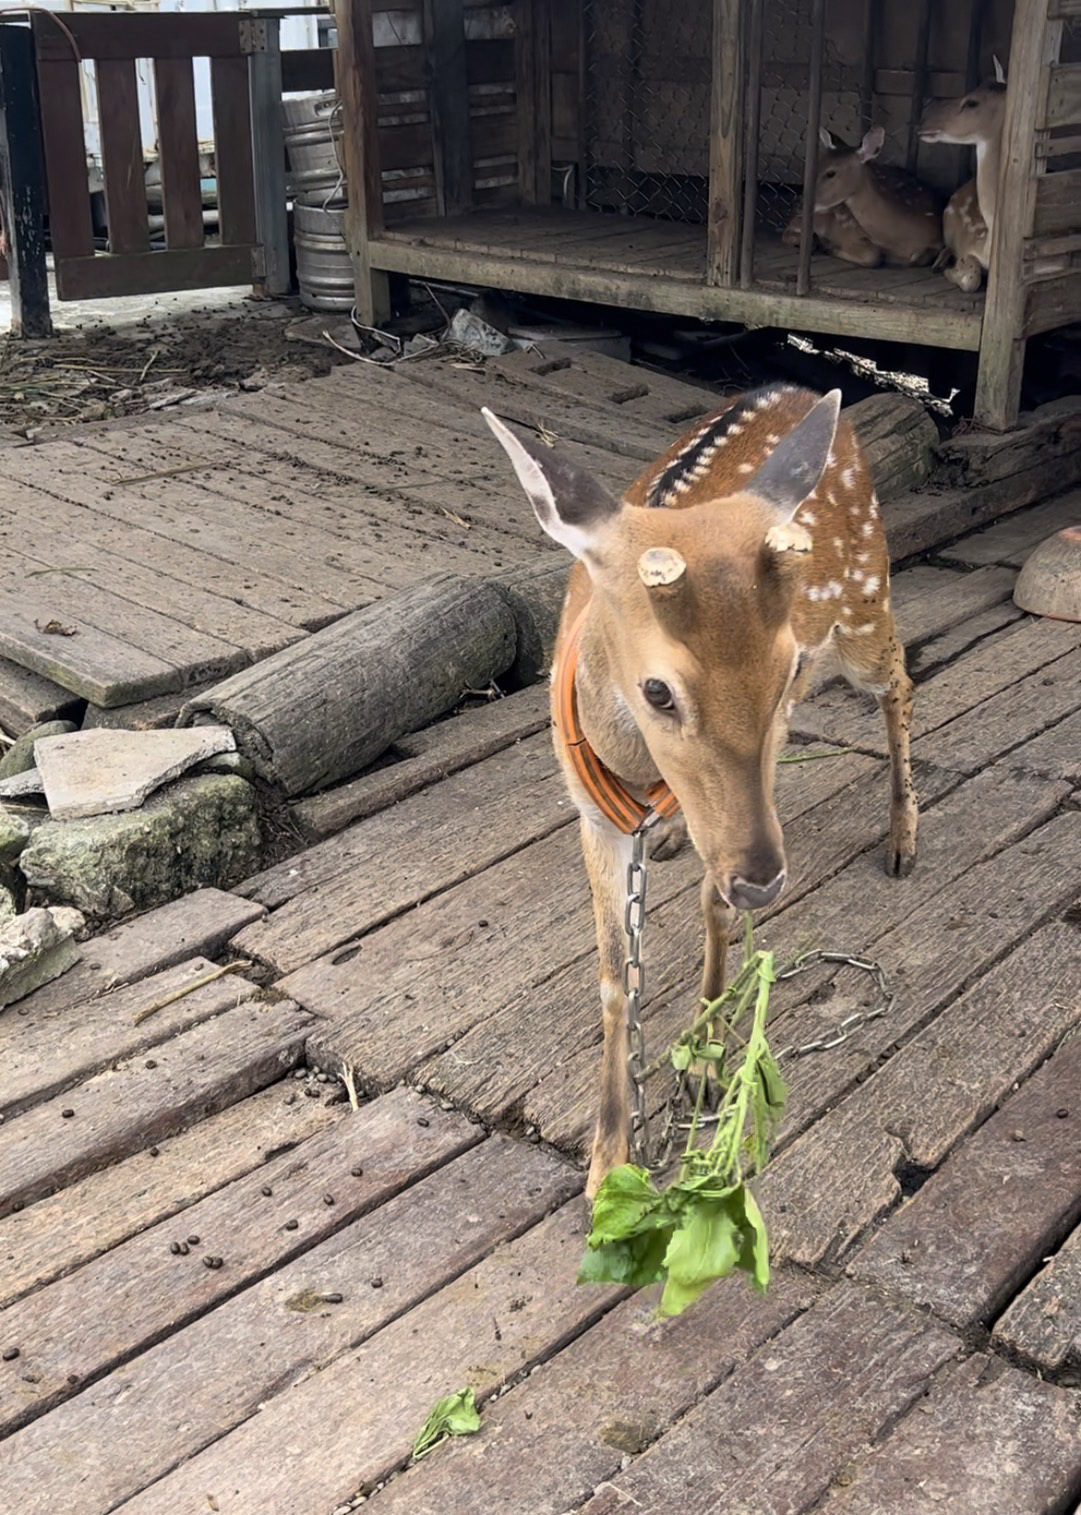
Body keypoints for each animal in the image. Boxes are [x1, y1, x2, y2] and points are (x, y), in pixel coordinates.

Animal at [484, 381, 914, 1193]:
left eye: (785, 668)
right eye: (658, 690)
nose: (764, 879)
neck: (638, 765)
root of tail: (807, 394)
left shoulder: (769, 751)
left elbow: (712, 913)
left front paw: (707, 1067)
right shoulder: (590, 811)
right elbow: (613, 972)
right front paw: (607, 1162)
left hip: (864, 602)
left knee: (900, 680)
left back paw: (904, 838)